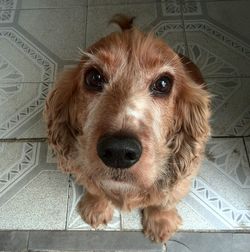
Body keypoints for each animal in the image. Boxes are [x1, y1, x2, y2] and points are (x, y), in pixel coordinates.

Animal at [44, 15, 210, 242]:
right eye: (94, 77)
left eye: (164, 83)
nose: (119, 151)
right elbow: (95, 187)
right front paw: (96, 208)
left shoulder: (183, 178)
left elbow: (166, 199)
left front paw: (161, 223)